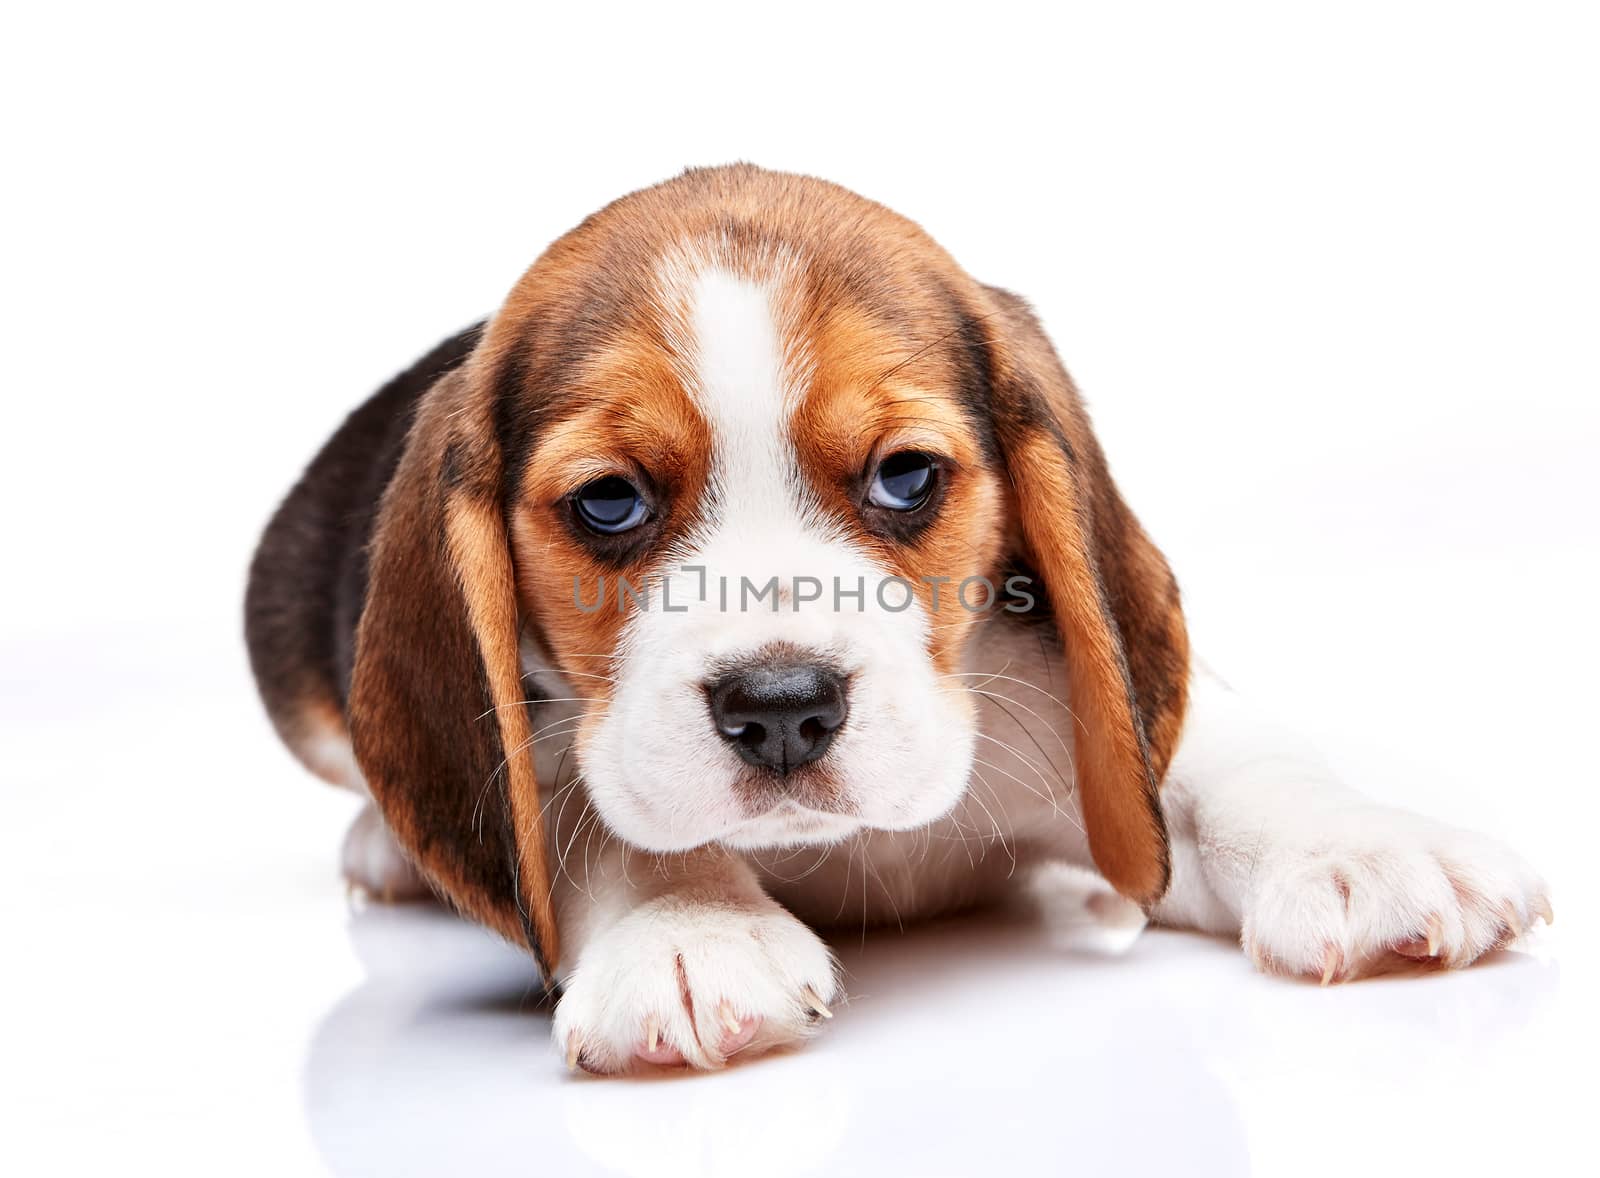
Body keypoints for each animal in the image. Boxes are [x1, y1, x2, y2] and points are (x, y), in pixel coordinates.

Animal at [246, 165, 1548, 1075]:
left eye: (905, 475)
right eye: (608, 501)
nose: (780, 709)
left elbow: (1222, 765)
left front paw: (1360, 849)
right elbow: (582, 809)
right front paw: (685, 925)